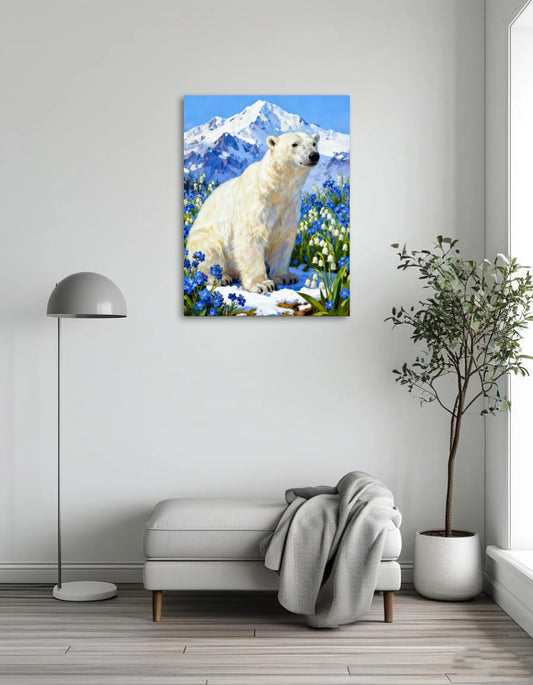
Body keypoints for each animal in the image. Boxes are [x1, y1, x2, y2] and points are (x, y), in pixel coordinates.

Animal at [186, 131, 320, 293]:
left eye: (313, 143)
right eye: (294, 144)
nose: (314, 155)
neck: (276, 188)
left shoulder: (289, 205)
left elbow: (283, 239)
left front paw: (286, 276)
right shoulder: (256, 203)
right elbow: (251, 237)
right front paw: (262, 284)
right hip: (205, 237)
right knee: (209, 250)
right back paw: (219, 277)